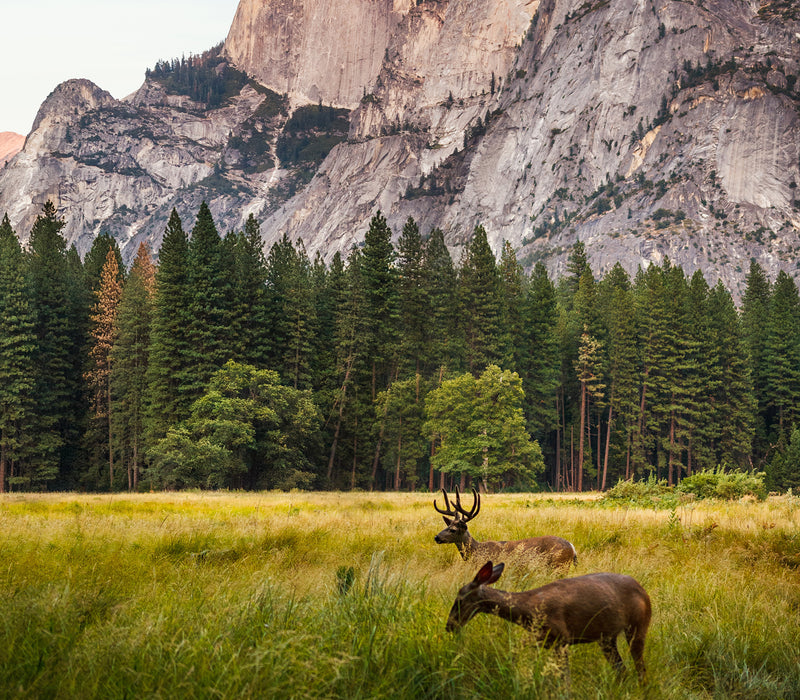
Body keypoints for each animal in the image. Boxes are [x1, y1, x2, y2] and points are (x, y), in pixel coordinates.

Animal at [434, 486, 580, 568]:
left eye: (453, 530)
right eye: (447, 525)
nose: (436, 537)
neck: (477, 551)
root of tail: (572, 547)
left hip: (559, 565)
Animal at [446, 560, 652, 680]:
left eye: (459, 600)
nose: (449, 626)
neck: (529, 610)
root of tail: (643, 591)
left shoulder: (562, 638)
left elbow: (564, 678)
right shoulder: (542, 640)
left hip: (638, 626)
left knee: (640, 669)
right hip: (607, 638)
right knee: (621, 669)